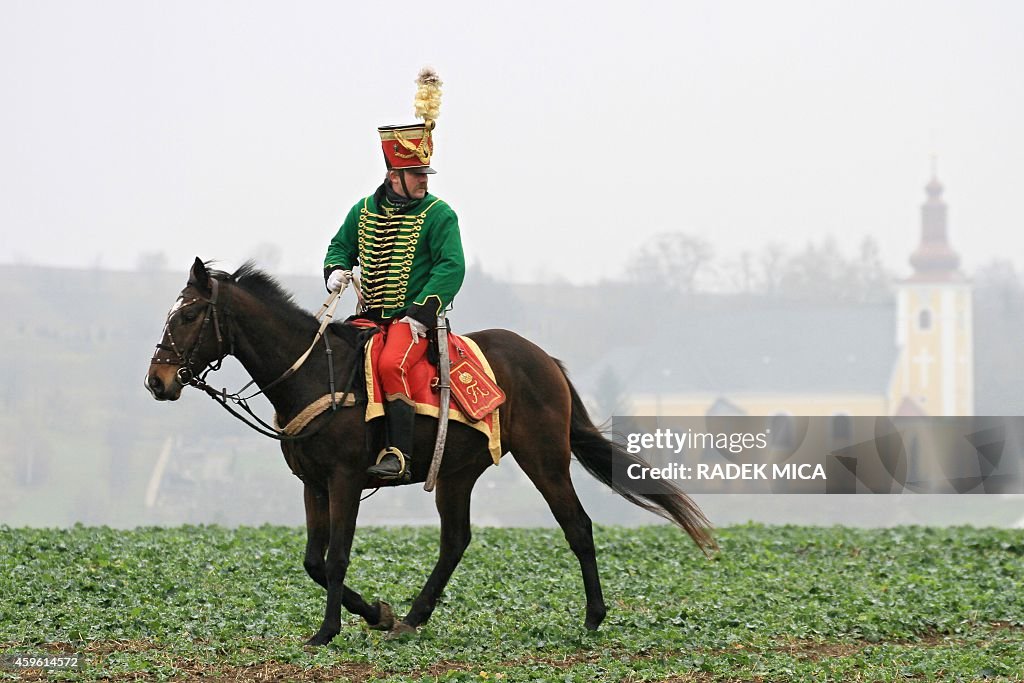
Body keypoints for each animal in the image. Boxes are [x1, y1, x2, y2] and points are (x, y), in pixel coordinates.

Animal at [148, 260, 716, 647]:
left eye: (191, 313)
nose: (158, 380)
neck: (313, 372)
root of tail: (542, 359)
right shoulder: (312, 484)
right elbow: (312, 560)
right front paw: (376, 614)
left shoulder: (345, 479)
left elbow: (335, 558)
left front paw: (328, 631)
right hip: (457, 474)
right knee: (455, 540)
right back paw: (414, 616)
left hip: (544, 459)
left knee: (577, 526)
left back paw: (594, 616)